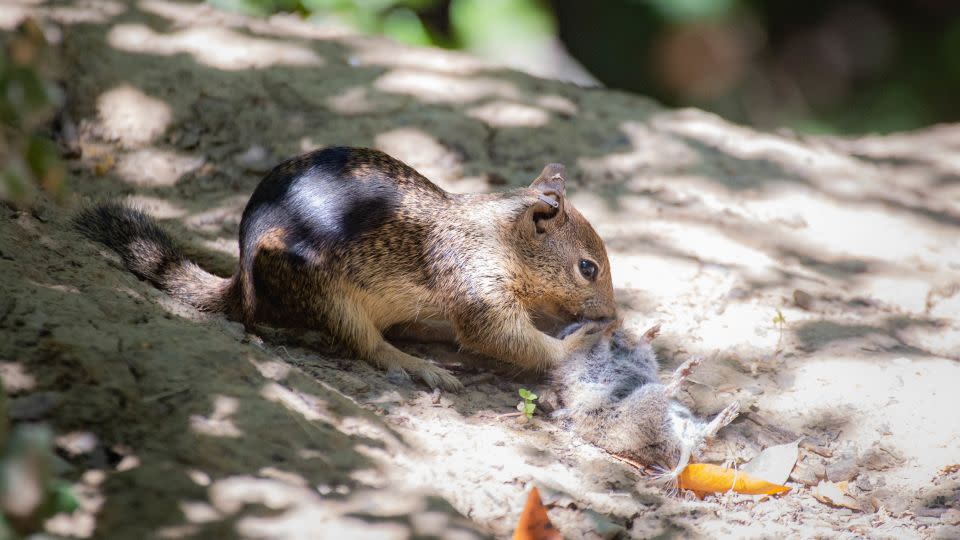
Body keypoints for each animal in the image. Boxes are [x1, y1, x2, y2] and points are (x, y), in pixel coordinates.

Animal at [75, 148, 616, 390]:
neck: (498, 236)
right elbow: (499, 334)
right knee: (368, 346)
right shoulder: (475, 280)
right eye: (588, 268)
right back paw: (419, 365)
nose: (614, 317)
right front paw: (578, 343)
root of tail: (242, 288)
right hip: (327, 296)